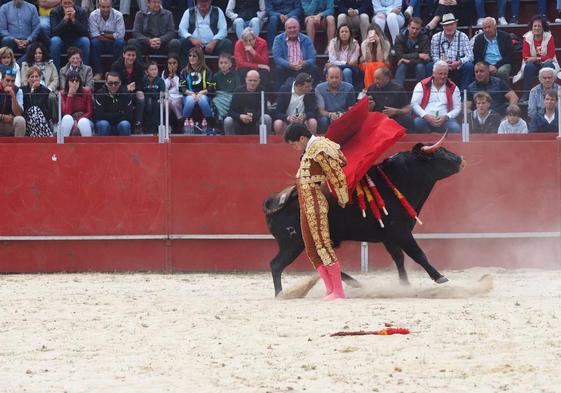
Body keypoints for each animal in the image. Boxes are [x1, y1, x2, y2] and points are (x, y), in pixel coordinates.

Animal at [262, 139, 464, 296]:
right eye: (440, 151)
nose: (461, 159)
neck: (398, 180)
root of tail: (275, 201)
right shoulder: (400, 232)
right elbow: (418, 254)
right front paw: (440, 277)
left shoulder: (389, 236)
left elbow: (399, 258)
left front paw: (404, 284)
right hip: (293, 243)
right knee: (276, 264)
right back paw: (280, 294)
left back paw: (353, 283)